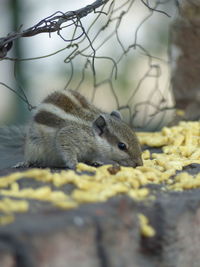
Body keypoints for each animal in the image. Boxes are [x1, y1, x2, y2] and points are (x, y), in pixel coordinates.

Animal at [0, 90, 143, 170]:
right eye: (122, 146)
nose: (140, 163)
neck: (91, 132)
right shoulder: (68, 135)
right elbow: (66, 147)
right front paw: (74, 164)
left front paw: (94, 161)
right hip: (34, 145)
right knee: (31, 157)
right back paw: (24, 162)